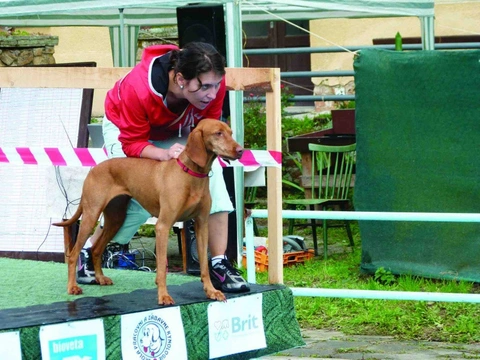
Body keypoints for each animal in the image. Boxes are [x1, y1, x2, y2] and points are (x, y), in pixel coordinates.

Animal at [53, 119, 244, 306]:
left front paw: (211, 291)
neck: (190, 174)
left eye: (230, 132)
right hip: (91, 215)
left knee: (96, 249)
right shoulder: (163, 226)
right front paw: (163, 296)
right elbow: (162, 269)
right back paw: (72, 287)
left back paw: (100, 278)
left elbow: (204, 264)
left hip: (116, 219)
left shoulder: (202, 225)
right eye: (218, 133)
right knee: (74, 253)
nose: (241, 150)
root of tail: (94, 169)